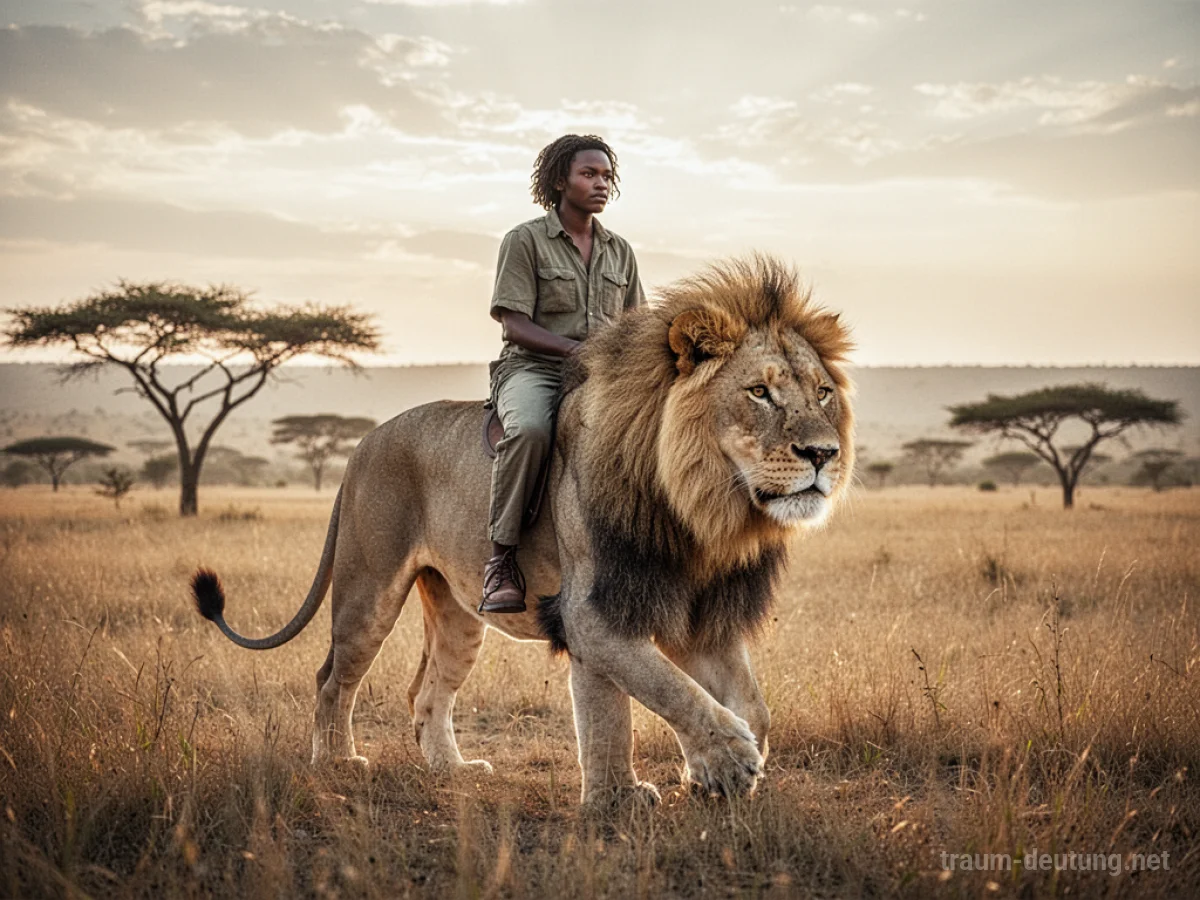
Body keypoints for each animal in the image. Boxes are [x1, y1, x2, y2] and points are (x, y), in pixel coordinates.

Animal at [192, 255, 854, 806]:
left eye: (823, 392)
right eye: (760, 392)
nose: (824, 454)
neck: (699, 513)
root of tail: (363, 442)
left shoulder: (693, 610)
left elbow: (744, 706)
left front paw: (703, 775)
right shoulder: (592, 611)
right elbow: (645, 698)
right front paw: (647, 790)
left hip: (459, 614)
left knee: (425, 692)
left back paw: (453, 770)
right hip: (367, 590)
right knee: (332, 677)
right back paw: (337, 763)